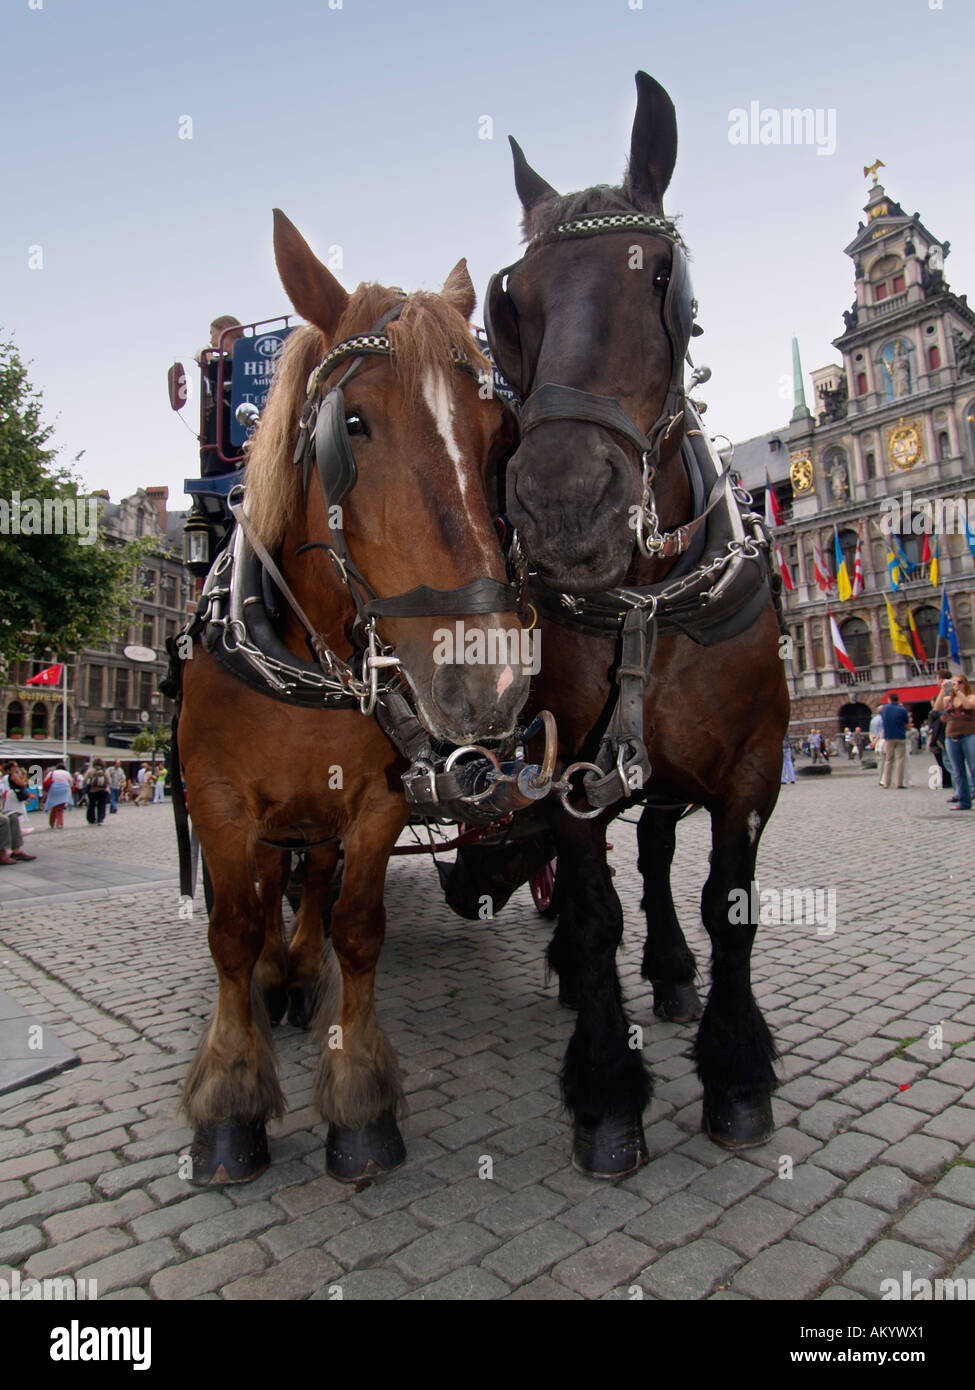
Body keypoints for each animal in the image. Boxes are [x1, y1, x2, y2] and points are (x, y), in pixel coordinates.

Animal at [174, 209, 533, 1185]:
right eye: (354, 425)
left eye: (498, 433)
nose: (487, 677)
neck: (307, 662)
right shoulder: (217, 801)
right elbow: (230, 929)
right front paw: (231, 1099)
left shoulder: (376, 798)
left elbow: (357, 924)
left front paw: (360, 1099)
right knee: (269, 888)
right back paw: (274, 975)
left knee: (316, 882)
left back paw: (298, 972)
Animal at [482, 72, 790, 1176]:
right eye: (511, 305)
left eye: (667, 281)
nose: (565, 507)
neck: (650, 597)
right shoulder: (568, 765)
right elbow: (592, 904)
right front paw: (608, 1090)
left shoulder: (753, 761)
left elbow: (726, 903)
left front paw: (737, 1073)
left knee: (659, 845)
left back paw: (672, 971)